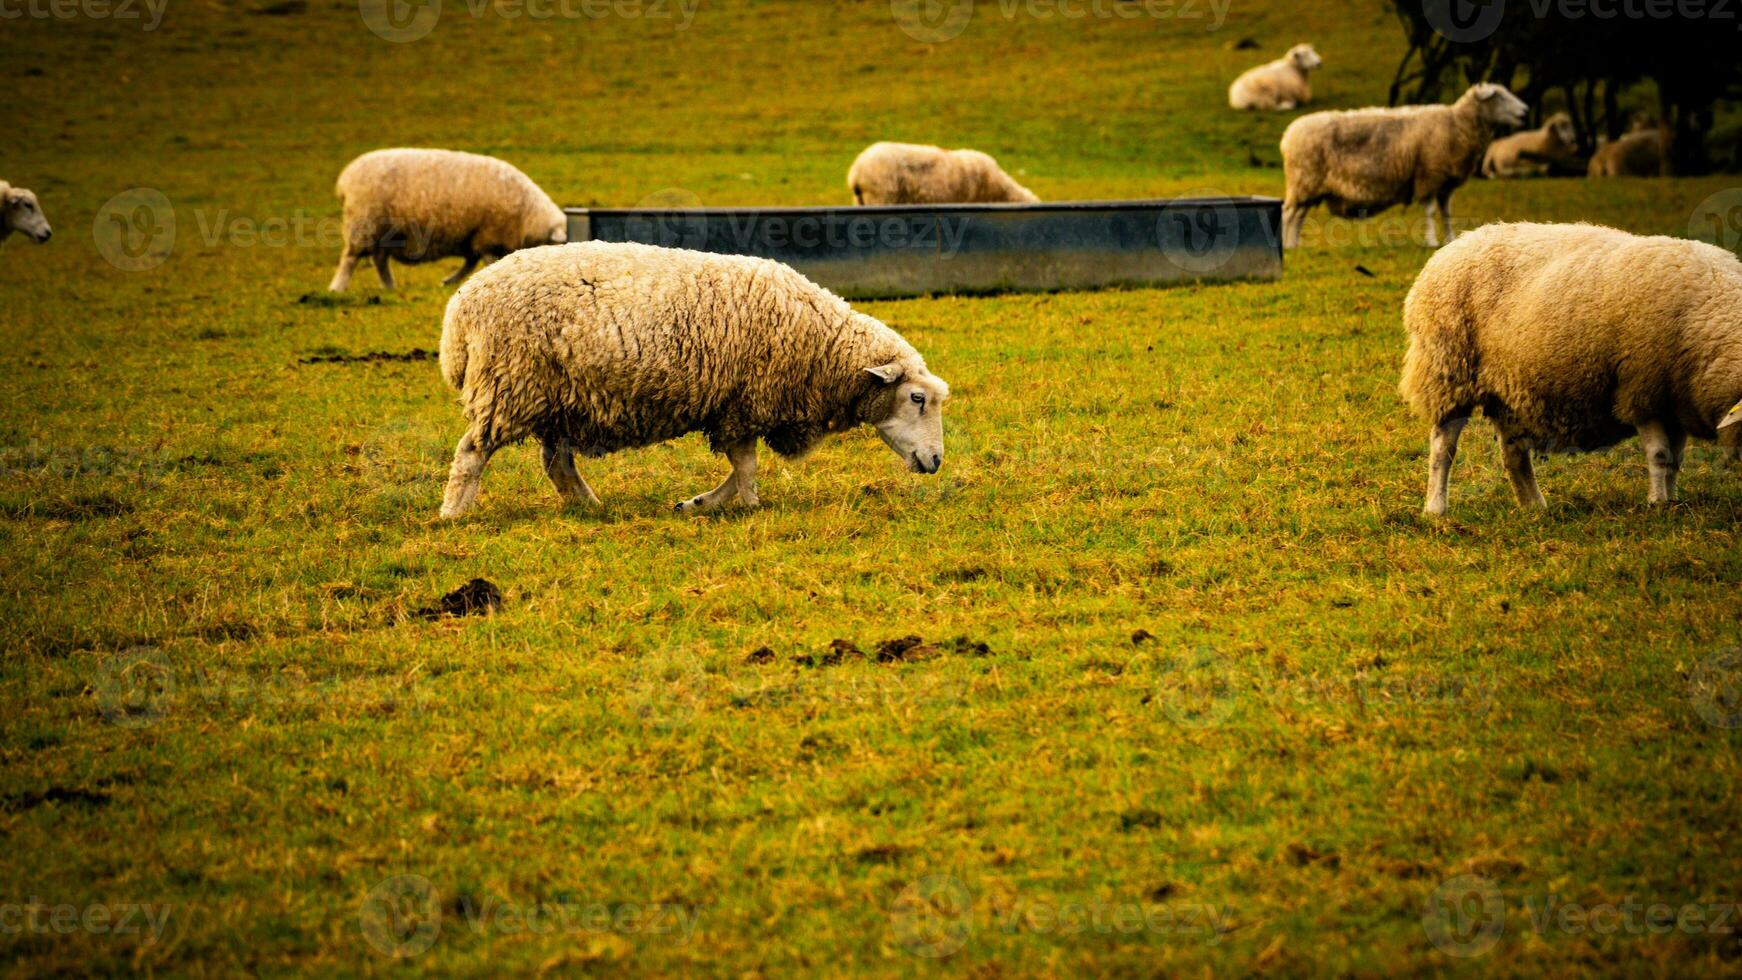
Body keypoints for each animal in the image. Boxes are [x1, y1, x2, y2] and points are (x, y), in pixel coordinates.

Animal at [327, 145, 564, 290]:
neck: (529, 213)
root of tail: (344, 179)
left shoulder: (474, 237)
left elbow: (470, 262)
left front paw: (449, 281)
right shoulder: (488, 236)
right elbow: (485, 261)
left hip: (385, 232)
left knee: (380, 260)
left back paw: (389, 287)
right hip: (363, 224)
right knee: (350, 258)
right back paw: (338, 287)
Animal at [435, 240, 954, 522]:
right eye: (916, 398)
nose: (935, 461)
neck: (823, 346)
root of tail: (460, 310)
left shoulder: (734, 408)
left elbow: (739, 467)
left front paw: (700, 503)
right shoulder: (747, 403)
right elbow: (746, 468)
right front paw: (748, 505)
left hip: (560, 399)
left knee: (557, 464)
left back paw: (590, 507)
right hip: (510, 385)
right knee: (472, 452)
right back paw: (453, 514)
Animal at [1282, 83, 1525, 248]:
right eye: (1498, 97)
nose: (1525, 112)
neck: (1456, 124)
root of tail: (1288, 135)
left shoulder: (1445, 184)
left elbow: (1447, 213)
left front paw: (1450, 239)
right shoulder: (1428, 175)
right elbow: (1430, 211)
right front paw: (1431, 240)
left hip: (1308, 185)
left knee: (1299, 215)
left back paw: (1294, 243)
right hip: (1304, 180)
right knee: (1288, 213)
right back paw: (1286, 245)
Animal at [1393, 221, 1742, 515]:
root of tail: (1456, 244)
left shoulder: (1674, 400)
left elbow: (1675, 459)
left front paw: (1671, 500)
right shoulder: (1641, 391)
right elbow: (1659, 455)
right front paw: (1657, 503)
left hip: (1507, 390)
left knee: (1513, 453)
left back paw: (1533, 506)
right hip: (1449, 373)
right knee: (1444, 448)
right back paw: (1436, 508)